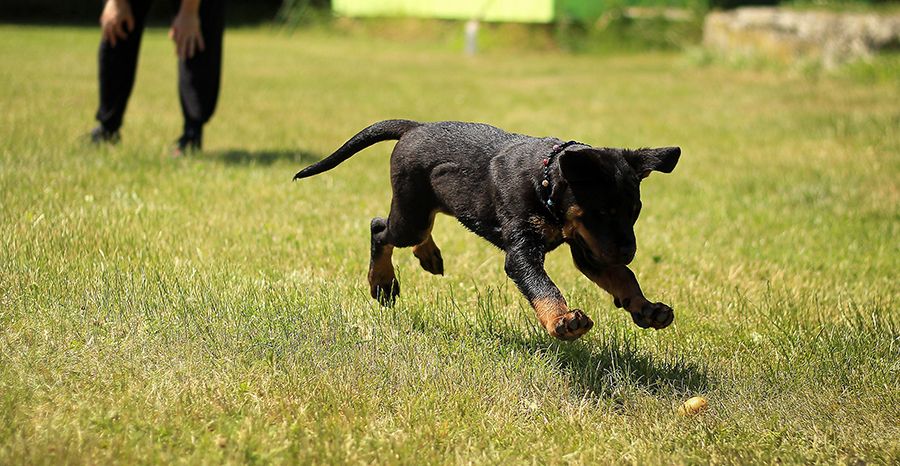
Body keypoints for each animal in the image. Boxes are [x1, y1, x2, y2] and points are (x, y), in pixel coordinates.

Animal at [298, 119, 684, 338]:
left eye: (635, 211)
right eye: (602, 211)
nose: (629, 251)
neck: (544, 180)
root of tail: (414, 127)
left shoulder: (589, 248)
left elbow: (623, 278)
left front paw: (647, 309)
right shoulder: (524, 251)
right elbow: (543, 286)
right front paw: (562, 320)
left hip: (428, 206)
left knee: (419, 229)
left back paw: (429, 256)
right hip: (410, 213)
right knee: (381, 228)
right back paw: (382, 282)